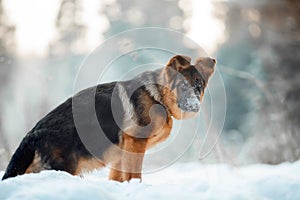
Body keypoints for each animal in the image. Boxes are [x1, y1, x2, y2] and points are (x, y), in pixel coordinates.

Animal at [1, 54, 214, 181]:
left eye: (199, 85)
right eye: (182, 86)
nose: (195, 105)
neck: (157, 96)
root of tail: (31, 134)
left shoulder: (120, 153)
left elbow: (117, 178)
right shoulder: (135, 143)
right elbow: (134, 175)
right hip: (64, 167)